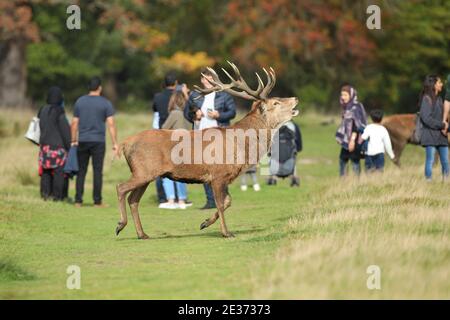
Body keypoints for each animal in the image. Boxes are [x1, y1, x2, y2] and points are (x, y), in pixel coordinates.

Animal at [115, 62, 298, 238]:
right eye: (275, 102)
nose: (295, 98)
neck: (241, 145)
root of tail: (125, 144)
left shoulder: (225, 177)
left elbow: (228, 201)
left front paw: (204, 223)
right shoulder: (217, 174)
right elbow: (221, 203)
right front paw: (226, 232)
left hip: (147, 174)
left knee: (133, 199)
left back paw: (142, 234)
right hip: (143, 171)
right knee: (121, 187)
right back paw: (120, 225)